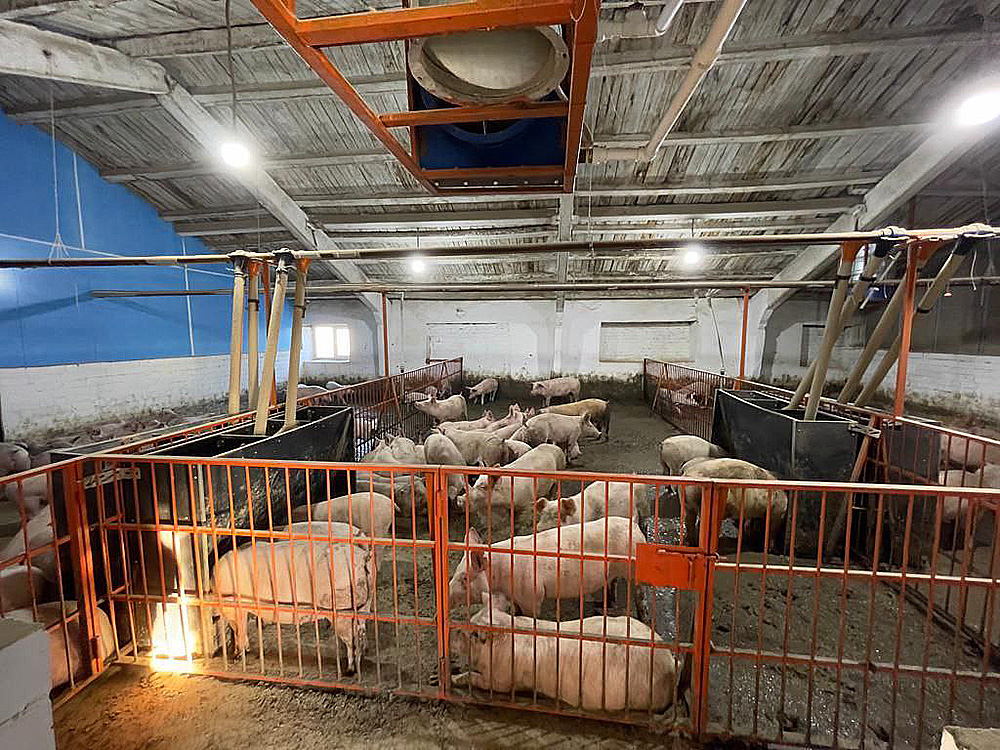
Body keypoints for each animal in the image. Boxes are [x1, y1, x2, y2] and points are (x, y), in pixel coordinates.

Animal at [213, 540, 374, 676]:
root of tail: (363, 558)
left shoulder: (234, 607)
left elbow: (238, 630)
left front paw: (236, 656)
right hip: (364, 605)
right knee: (361, 631)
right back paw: (362, 657)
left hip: (342, 610)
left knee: (352, 640)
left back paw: (350, 670)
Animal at [448, 516, 648, 616]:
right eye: (456, 572)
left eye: (465, 577)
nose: (447, 596)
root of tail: (634, 525)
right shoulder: (517, 597)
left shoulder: (532, 595)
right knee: (612, 582)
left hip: (634, 566)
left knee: (640, 595)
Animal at [452, 600, 672, 712]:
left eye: (474, 634)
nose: (453, 629)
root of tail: (671, 663)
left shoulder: (502, 679)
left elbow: (478, 679)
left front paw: (453, 678)